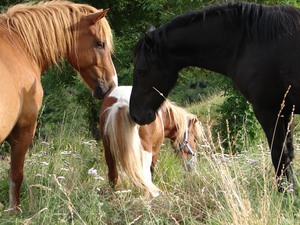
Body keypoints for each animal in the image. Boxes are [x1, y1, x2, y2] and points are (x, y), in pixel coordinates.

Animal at [0, 0, 116, 210]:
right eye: (100, 43)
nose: (111, 85)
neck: (19, 45)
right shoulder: (24, 130)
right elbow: (16, 175)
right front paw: (14, 211)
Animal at [129, 2, 300, 192]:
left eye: (142, 71)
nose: (135, 114)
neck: (249, 42)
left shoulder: (268, 111)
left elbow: (279, 155)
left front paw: (285, 192)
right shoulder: (286, 111)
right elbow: (288, 153)